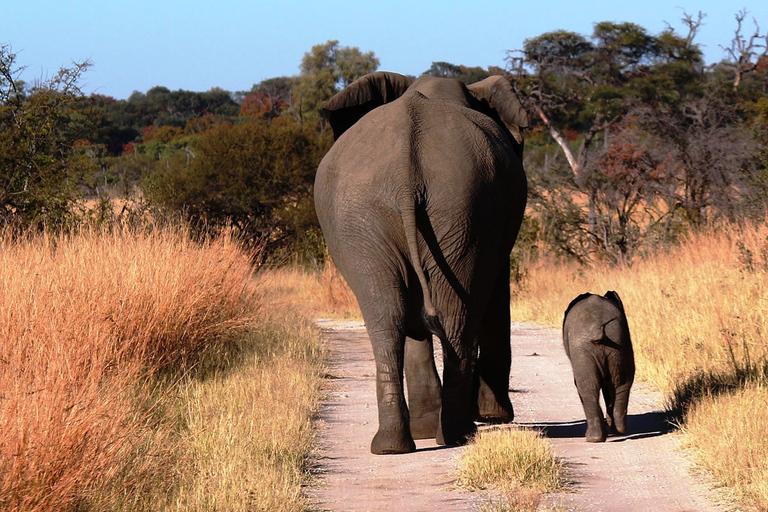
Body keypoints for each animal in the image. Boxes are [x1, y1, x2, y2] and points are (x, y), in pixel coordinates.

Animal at [314, 70, 528, 454]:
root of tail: (405, 175)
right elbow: (494, 295)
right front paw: (493, 418)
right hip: (438, 211)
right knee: (443, 316)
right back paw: (451, 435)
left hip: (419, 213)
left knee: (390, 318)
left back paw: (406, 442)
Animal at [560, 290, 632, 442]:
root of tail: (598, 329)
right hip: (620, 345)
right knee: (622, 383)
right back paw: (618, 431)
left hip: (584, 350)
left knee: (587, 387)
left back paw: (594, 438)